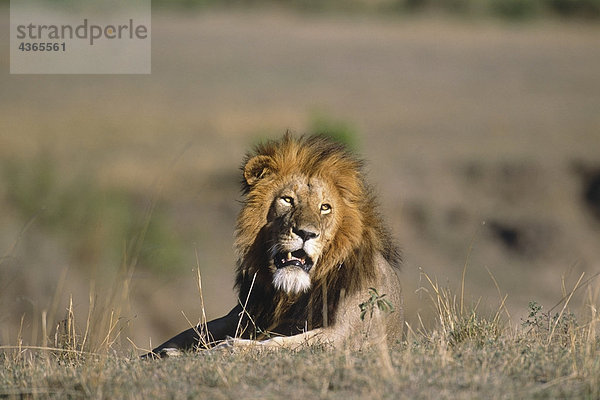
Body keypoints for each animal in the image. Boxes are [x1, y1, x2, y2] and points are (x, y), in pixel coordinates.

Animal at [146, 133, 404, 358]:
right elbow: (192, 332)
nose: (306, 233)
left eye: (325, 207)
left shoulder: (345, 335)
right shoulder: (243, 314)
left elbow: (281, 343)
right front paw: (161, 354)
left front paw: (228, 348)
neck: (290, 293)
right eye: (287, 200)